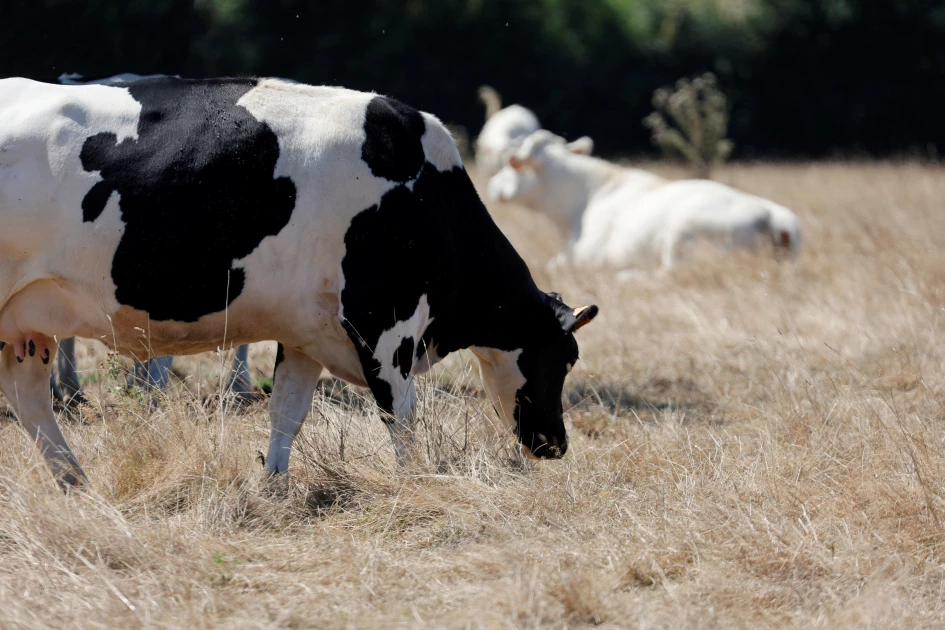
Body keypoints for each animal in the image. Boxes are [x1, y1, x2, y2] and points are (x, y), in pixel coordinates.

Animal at [0, 75, 596, 488]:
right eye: (566, 359)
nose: (558, 445)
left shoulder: (308, 331)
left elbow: (287, 411)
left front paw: (274, 484)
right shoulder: (385, 321)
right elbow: (401, 416)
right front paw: (416, 482)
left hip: (27, 326)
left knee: (30, 401)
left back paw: (75, 483)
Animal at [490, 131, 800, 272]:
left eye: (512, 165)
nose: (492, 186)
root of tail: (773, 215)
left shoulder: (588, 257)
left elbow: (553, 265)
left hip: (683, 233)